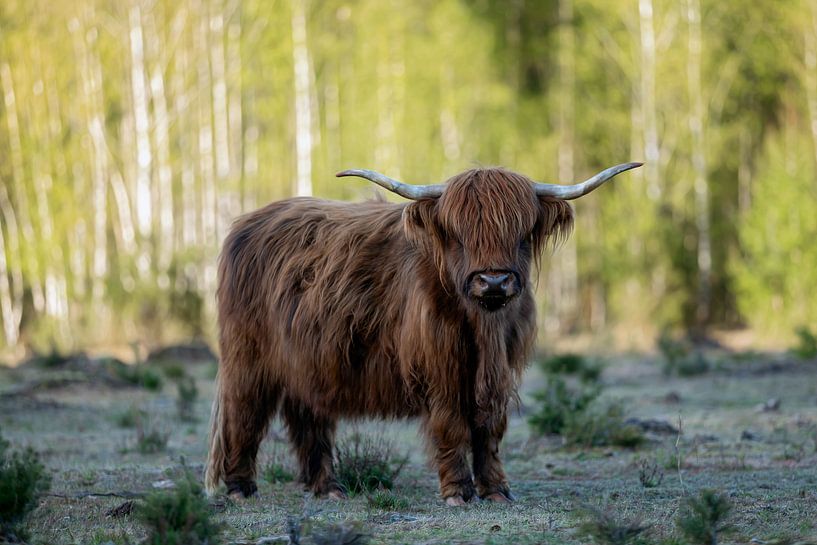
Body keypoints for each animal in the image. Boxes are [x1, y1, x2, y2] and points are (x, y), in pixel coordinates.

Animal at [207, 162, 640, 506]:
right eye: (458, 233)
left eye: (520, 232)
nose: (494, 281)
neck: (482, 326)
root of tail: (246, 223)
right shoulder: (439, 367)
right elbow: (452, 424)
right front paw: (458, 492)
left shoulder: (499, 369)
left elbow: (490, 429)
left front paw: (496, 491)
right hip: (248, 356)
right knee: (243, 412)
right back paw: (240, 489)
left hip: (308, 360)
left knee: (308, 417)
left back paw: (327, 488)